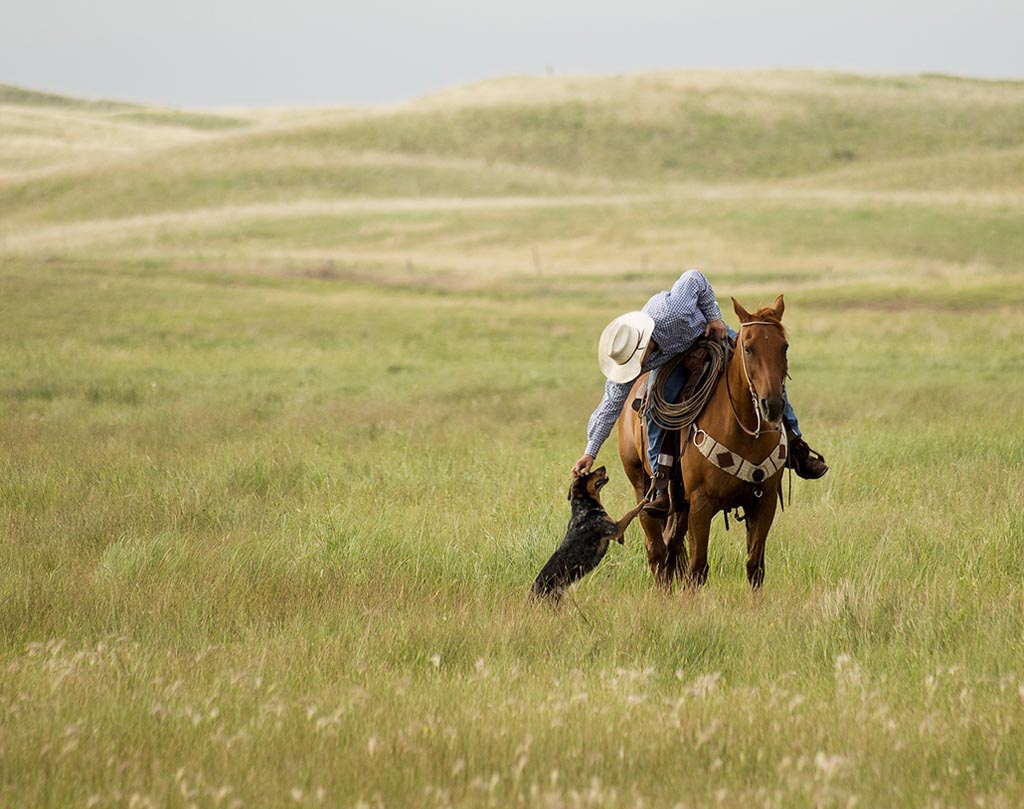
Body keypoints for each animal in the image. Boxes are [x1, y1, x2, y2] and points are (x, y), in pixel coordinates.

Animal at [614, 294, 790, 593]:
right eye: (748, 348)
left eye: (784, 346)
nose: (773, 405)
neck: (743, 431)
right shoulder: (701, 502)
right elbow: (697, 568)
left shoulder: (763, 501)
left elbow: (755, 567)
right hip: (642, 486)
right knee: (657, 549)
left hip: (679, 503)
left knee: (671, 546)